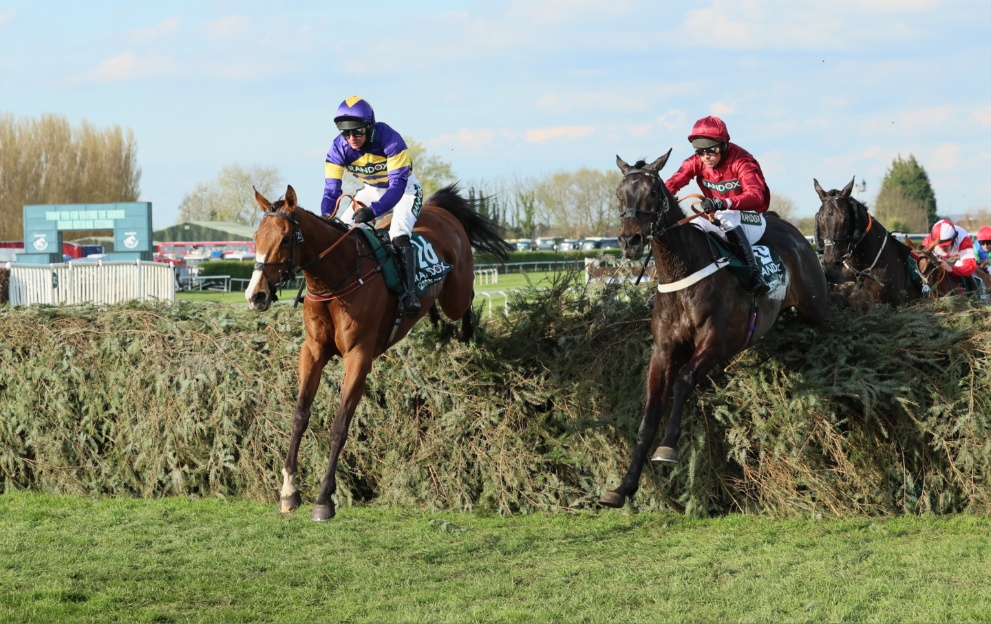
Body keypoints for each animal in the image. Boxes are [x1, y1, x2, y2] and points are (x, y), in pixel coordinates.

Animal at [248, 183, 516, 520]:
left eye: (285, 238)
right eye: (255, 237)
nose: (256, 295)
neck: (335, 277)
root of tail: (437, 208)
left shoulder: (358, 357)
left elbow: (339, 426)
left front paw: (324, 499)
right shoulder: (312, 352)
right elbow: (299, 416)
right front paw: (289, 490)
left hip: (456, 290)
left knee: (464, 299)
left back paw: (464, 331)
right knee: (435, 307)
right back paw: (431, 319)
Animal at [596, 154, 828, 510]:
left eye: (652, 192)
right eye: (620, 193)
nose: (631, 241)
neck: (681, 272)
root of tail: (795, 233)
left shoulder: (716, 342)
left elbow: (683, 381)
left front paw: (668, 447)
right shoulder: (663, 351)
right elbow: (649, 413)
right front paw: (624, 487)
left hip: (817, 308)